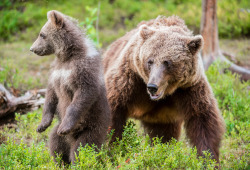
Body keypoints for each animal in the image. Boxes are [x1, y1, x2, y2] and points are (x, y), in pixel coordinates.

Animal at [103, 15, 225, 162]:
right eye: (149, 61)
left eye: (167, 62)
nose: (152, 87)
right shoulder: (129, 79)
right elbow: (112, 113)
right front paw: (111, 150)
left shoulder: (189, 88)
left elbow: (203, 120)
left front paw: (208, 158)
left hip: (161, 118)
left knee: (163, 135)